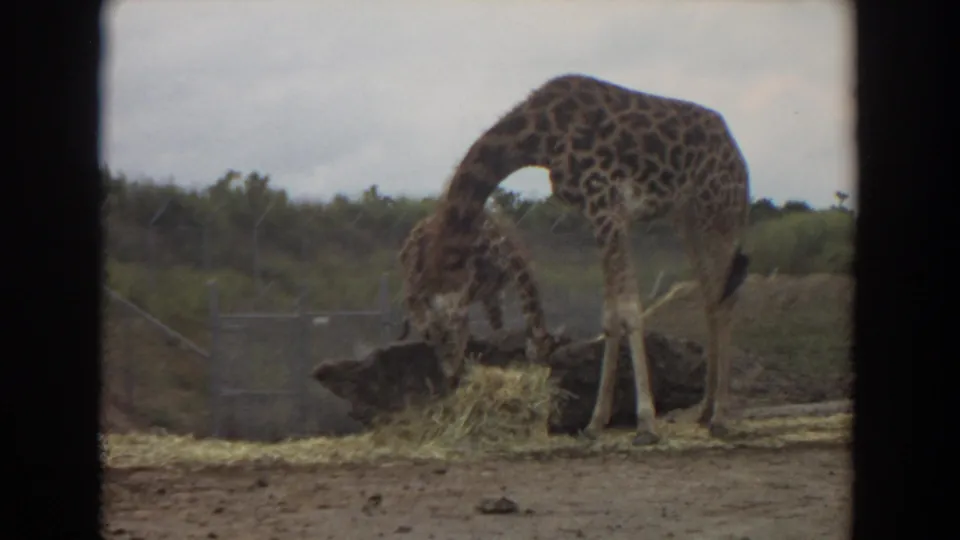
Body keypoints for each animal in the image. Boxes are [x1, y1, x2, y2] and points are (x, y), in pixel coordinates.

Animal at [396, 207, 558, 385]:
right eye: (541, 356)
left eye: (549, 355)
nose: (542, 373)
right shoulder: (466, 286)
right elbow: (455, 325)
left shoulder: (491, 293)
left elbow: (494, 325)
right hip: (418, 285)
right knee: (421, 312)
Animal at [425, 74, 751, 445]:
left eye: (441, 333)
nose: (449, 379)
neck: (540, 136)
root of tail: (738, 156)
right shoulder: (598, 215)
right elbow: (610, 315)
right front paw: (595, 423)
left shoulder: (608, 207)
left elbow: (629, 311)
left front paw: (645, 423)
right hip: (688, 219)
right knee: (713, 298)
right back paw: (705, 411)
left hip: (718, 213)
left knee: (726, 299)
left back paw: (720, 417)